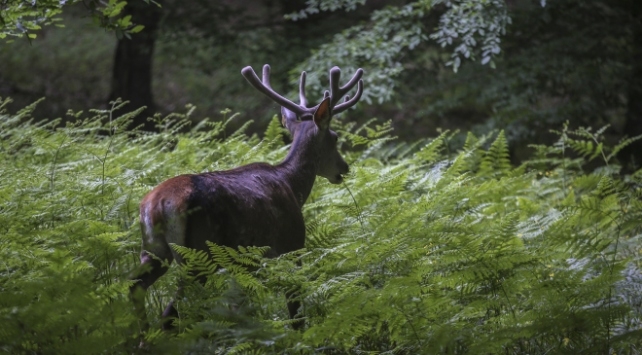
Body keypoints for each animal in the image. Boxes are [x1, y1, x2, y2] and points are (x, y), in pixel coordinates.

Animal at [127, 64, 362, 334]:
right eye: (334, 136)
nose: (344, 167)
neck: (292, 186)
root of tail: (155, 206)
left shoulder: (244, 266)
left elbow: (238, 310)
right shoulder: (291, 245)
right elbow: (295, 308)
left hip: (154, 248)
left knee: (135, 285)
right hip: (197, 253)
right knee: (171, 313)